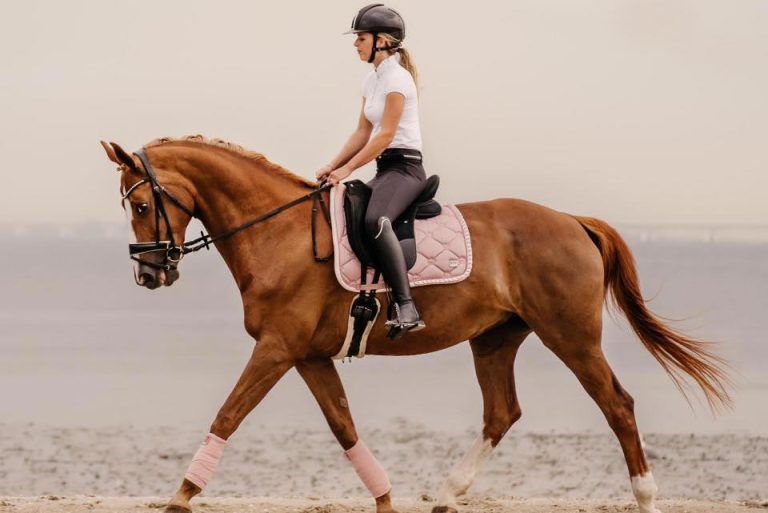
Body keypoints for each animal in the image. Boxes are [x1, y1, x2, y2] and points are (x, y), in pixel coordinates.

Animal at [100, 135, 730, 513]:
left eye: (140, 205)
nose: (148, 274)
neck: (279, 234)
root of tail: (572, 220)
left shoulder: (277, 349)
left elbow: (227, 415)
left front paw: (180, 496)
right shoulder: (308, 356)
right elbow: (344, 427)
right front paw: (385, 499)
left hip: (571, 338)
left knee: (617, 405)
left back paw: (645, 496)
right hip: (495, 340)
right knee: (502, 413)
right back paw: (449, 495)